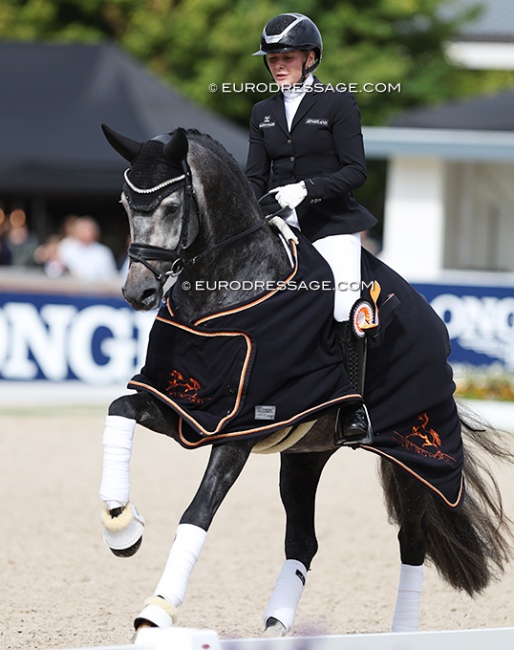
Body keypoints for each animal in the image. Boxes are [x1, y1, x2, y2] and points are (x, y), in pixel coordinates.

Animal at [98, 125, 510, 632]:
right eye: (124, 205)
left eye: (172, 207)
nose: (138, 292)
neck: (227, 290)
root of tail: (436, 326)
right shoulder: (185, 406)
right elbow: (120, 408)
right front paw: (121, 527)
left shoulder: (239, 428)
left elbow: (198, 512)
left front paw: (157, 609)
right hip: (304, 456)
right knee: (303, 541)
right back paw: (276, 625)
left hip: (416, 456)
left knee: (413, 540)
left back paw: (400, 632)